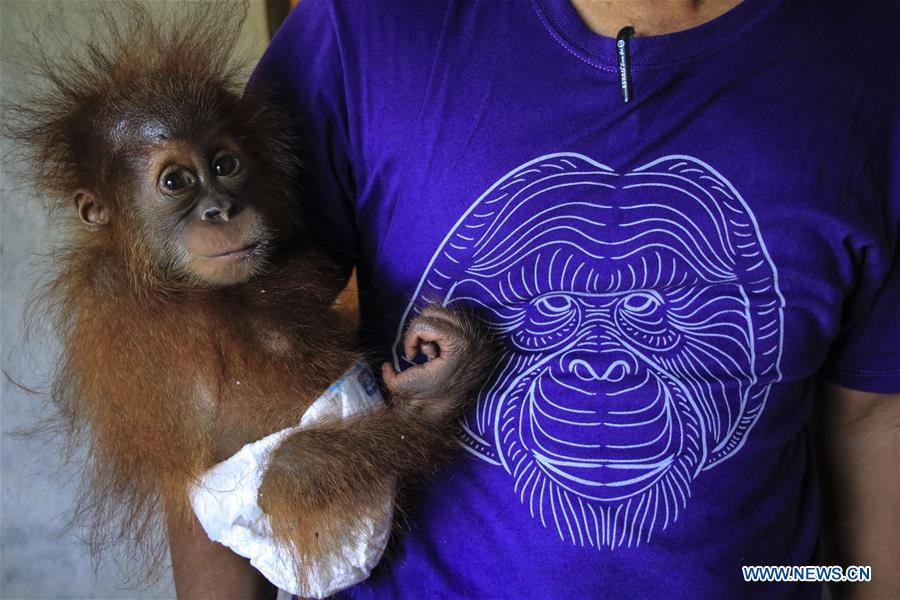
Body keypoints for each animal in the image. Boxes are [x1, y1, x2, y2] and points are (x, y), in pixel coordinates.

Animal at [5, 3, 493, 593]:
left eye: (224, 165)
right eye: (175, 182)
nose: (220, 209)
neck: (178, 283)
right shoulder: (123, 314)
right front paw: (434, 391)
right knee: (291, 468)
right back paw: (436, 394)